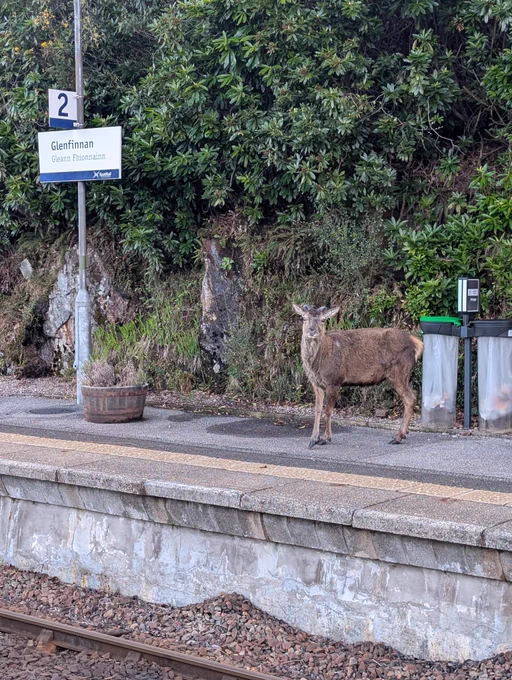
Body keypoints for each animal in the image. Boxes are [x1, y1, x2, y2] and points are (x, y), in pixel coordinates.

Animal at [293, 304, 424, 447]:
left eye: (323, 320)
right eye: (304, 318)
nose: (312, 330)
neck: (316, 365)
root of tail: (415, 343)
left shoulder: (334, 380)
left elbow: (328, 411)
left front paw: (325, 438)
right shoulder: (316, 383)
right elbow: (317, 410)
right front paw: (313, 439)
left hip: (399, 371)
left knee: (410, 397)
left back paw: (399, 436)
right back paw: (402, 434)